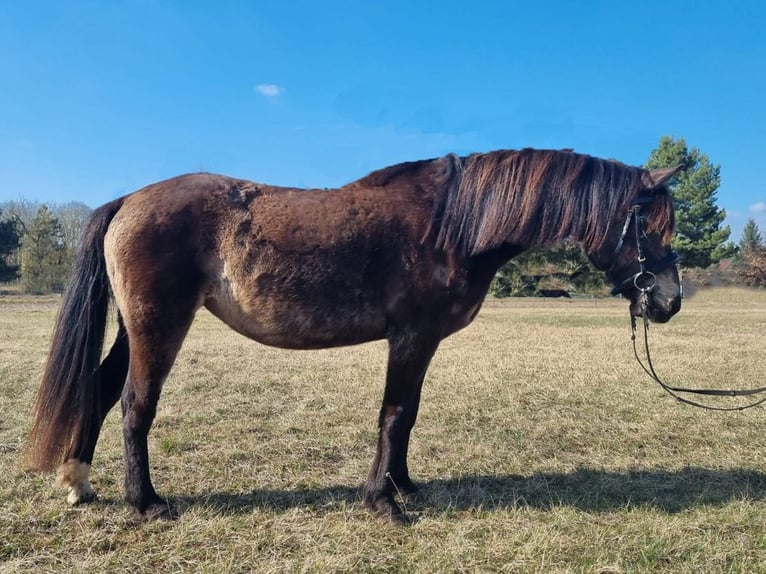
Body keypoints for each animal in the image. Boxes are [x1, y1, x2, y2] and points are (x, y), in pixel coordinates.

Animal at [25, 148, 682, 523]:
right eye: (646, 226)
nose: (669, 301)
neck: (453, 224)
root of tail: (130, 199)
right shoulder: (411, 336)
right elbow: (394, 414)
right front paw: (383, 502)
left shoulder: (422, 342)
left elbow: (409, 414)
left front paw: (405, 485)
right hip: (159, 324)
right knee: (135, 403)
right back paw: (145, 503)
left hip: (135, 327)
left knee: (100, 390)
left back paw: (79, 483)